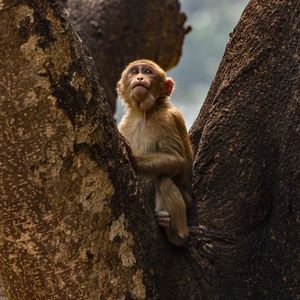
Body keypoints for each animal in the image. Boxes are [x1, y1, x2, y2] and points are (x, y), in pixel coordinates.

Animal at [116, 59, 193, 246]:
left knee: (163, 181)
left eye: (148, 72)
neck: (143, 114)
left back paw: (177, 234)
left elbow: (177, 160)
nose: (140, 77)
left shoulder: (166, 121)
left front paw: (134, 158)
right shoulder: (125, 124)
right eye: (134, 71)